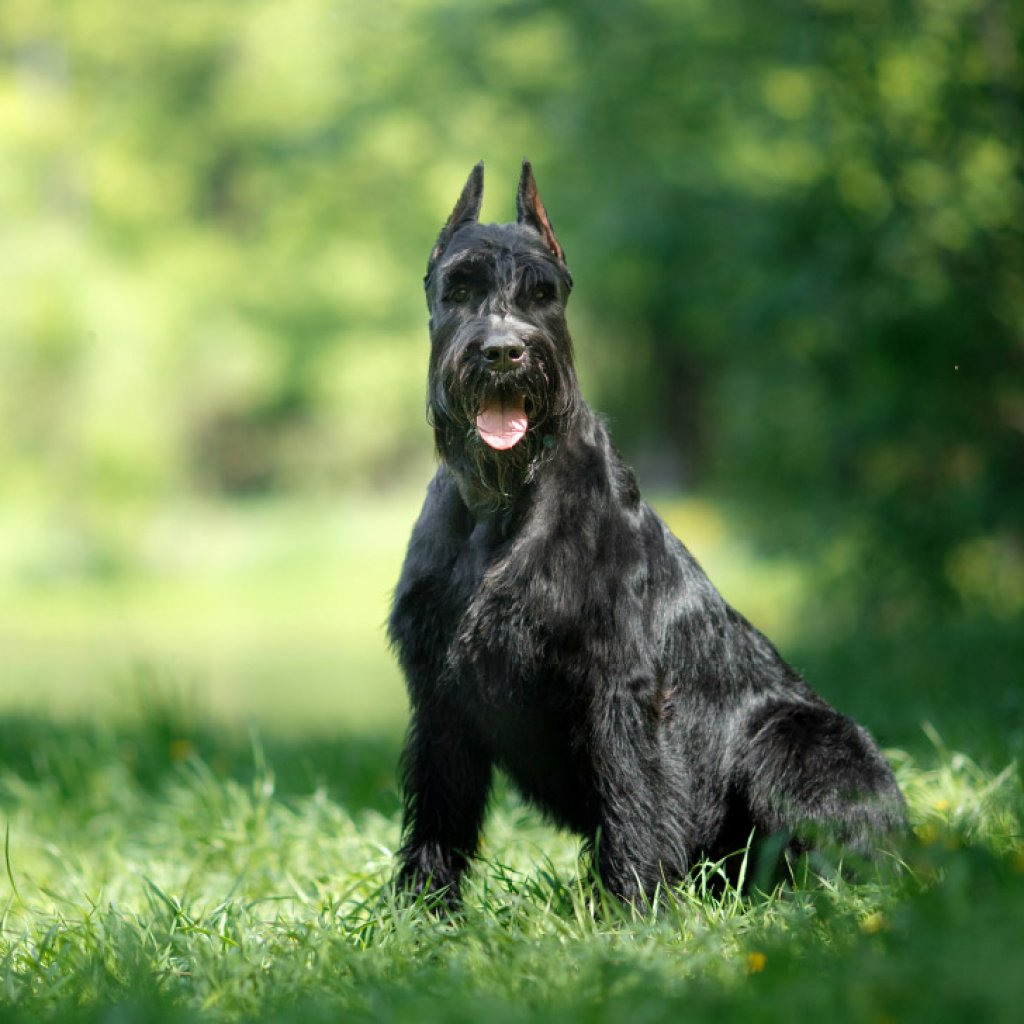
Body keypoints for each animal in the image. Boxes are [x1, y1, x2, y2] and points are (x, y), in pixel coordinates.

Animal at [387, 159, 909, 905]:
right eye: (459, 286)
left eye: (542, 292)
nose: (504, 352)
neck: (499, 507)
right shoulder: (439, 698)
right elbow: (438, 812)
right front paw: (422, 911)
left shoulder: (621, 685)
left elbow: (633, 798)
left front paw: (634, 909)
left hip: (795, 741)